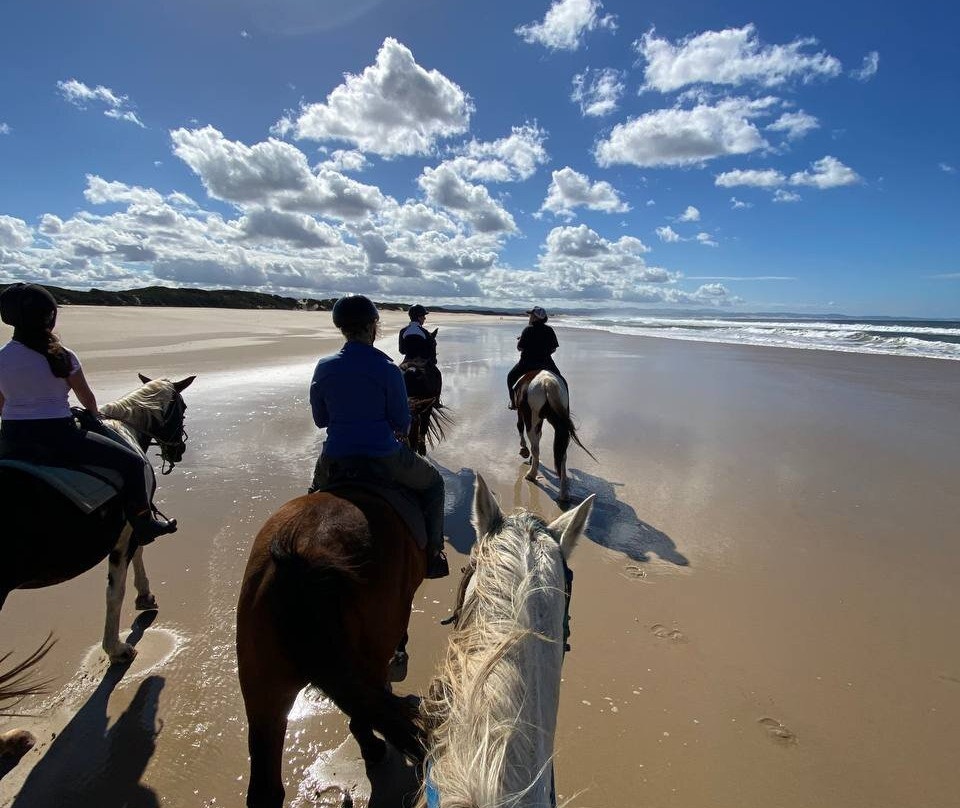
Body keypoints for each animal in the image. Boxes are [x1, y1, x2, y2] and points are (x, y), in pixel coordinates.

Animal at [234, 486, 426, 808]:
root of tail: (300, 558)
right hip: (371, 651)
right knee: (365, 713)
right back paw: (375, 749)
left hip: (262, 688)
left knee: (266, 789)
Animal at [512, 370, 596, 502]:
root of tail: (546, 382)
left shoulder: (521, 413)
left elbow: (520, 426)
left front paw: (524, 450)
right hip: (559, 422)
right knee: (562, 455)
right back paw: (563, 494)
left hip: (532, 418)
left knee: (535, 448)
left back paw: (531, 475)